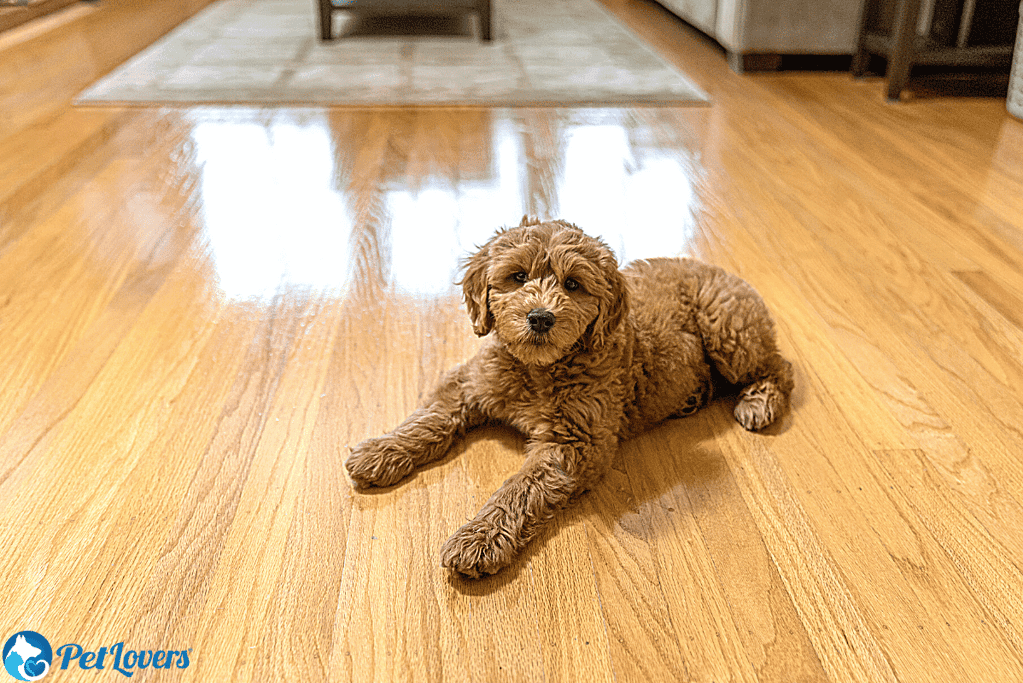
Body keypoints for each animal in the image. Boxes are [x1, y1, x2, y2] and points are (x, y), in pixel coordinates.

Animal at [347, 217, 793, 576]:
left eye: (573, 284)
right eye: (517, 277)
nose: (540, 317)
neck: (538, 368)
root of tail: (716, 268)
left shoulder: (575, 442)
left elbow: (520, 489)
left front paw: (480, 537)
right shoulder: (469, 383)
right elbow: (429, 418)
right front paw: (381, 451)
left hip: (729, 331)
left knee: (780, 366)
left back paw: (759, 402)